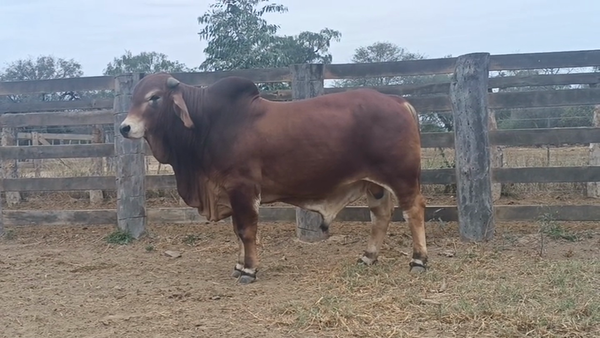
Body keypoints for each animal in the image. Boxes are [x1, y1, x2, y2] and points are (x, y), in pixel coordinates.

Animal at [118, 72, 426, 284]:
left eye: (154, 97)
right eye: (134, 97)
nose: (125, 128)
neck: (209, 122)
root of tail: (398, 101)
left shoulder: (243, 188)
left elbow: (246, 230)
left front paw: (249, 270)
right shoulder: (228, 190)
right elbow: (236, 231)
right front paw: (239, 266)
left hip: (402, 177)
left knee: (414, 211)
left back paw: (419, 261)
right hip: (375, 183)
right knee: (381, 214)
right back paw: (368, 257)